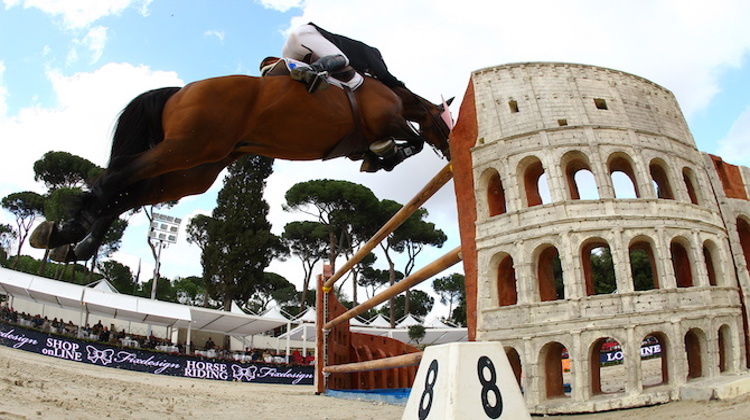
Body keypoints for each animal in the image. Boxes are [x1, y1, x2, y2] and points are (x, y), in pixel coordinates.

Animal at [29, 72, 452, 262]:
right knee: (113, 179)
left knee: (129, 194)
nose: (451, 145)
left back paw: (74, 243)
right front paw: (385, 156)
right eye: (447, 119)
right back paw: (71, 231)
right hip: (184, 148)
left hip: (192, 170)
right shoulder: (389, 119)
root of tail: (180, 90)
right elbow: (412, 141)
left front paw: (375, 158)